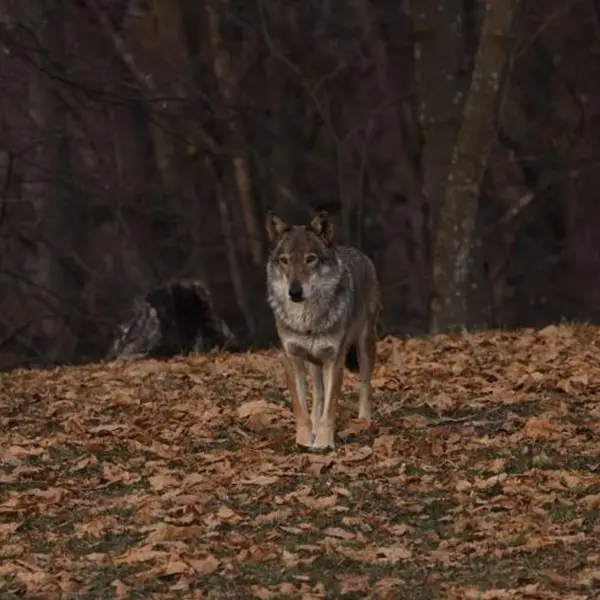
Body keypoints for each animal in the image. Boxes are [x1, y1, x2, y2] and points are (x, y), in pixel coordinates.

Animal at [266, 209, 382, 448]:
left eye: (310, 259)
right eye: (284, 261)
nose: (295, 292)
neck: (306, 320)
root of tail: (358, 252)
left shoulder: (334, 360)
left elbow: (330, 408)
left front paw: (323, 443)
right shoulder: (292, 359)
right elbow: (301, 407)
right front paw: (304, 440)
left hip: (365, 345)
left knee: (365, 384)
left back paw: (364, 421)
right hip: (314, 362)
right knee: (318, 394)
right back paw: (314, 424)